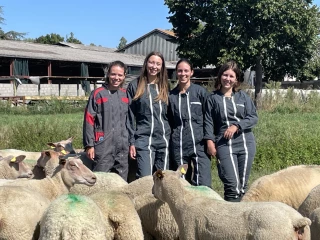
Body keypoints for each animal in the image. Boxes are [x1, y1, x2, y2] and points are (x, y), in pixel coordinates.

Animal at [154, 164, 312, 240]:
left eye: (155, 179)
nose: (152, 192)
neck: (183, 199)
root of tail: (296, 220)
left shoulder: (189, 233)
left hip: (271, 236)